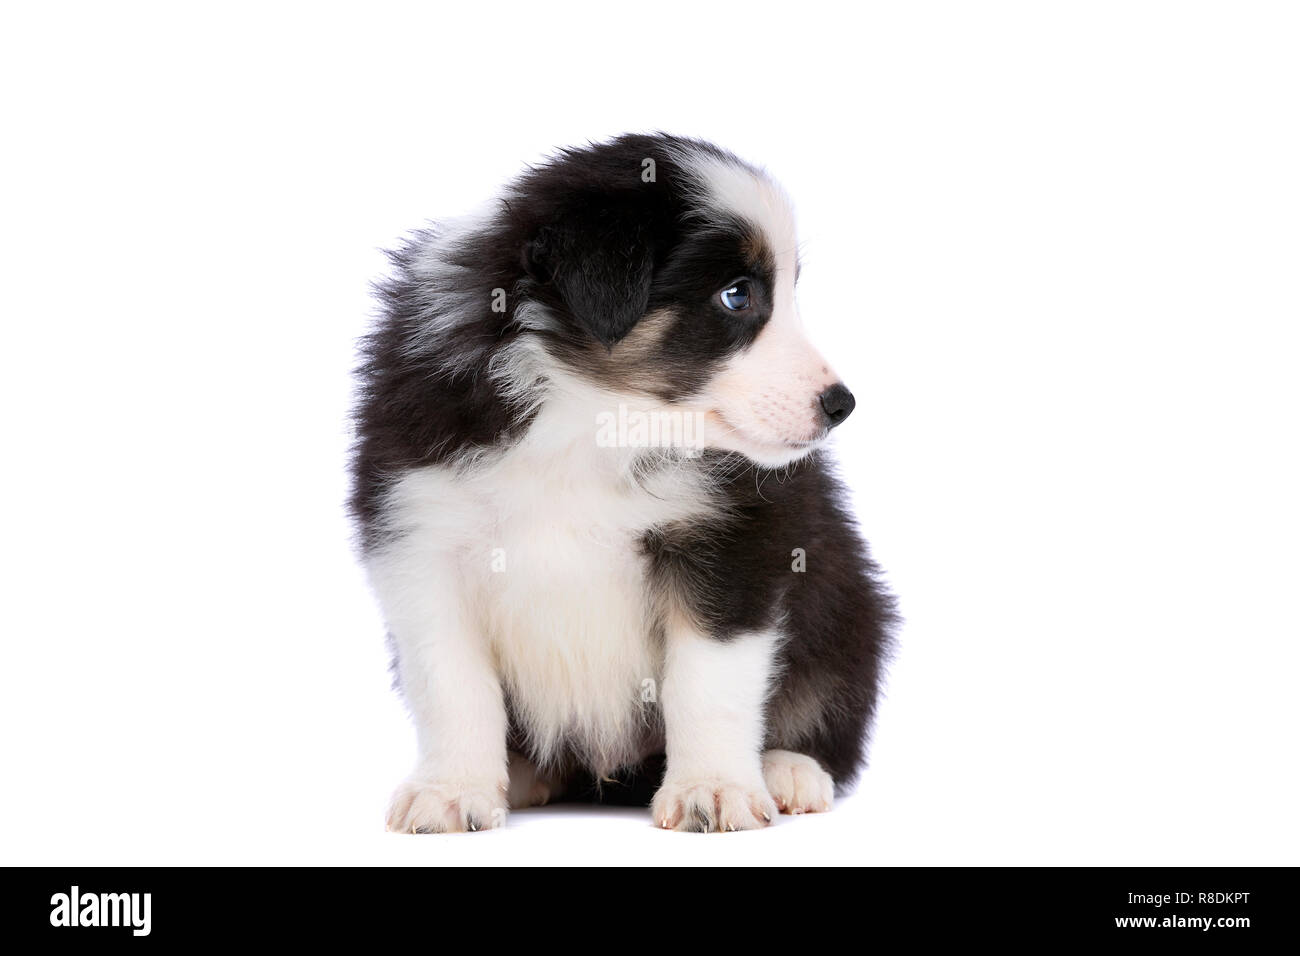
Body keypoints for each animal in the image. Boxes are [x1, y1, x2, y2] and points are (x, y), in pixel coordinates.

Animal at [351, 132, 899, 832]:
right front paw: (452, 791)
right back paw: (523, 775)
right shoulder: (420, 539)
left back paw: (786, 770)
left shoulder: (732, 542)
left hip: (850, 607)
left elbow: (708, 682)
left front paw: (712, 788)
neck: (590, 418)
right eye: (737, 295)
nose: (841, 404)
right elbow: (452, 682)